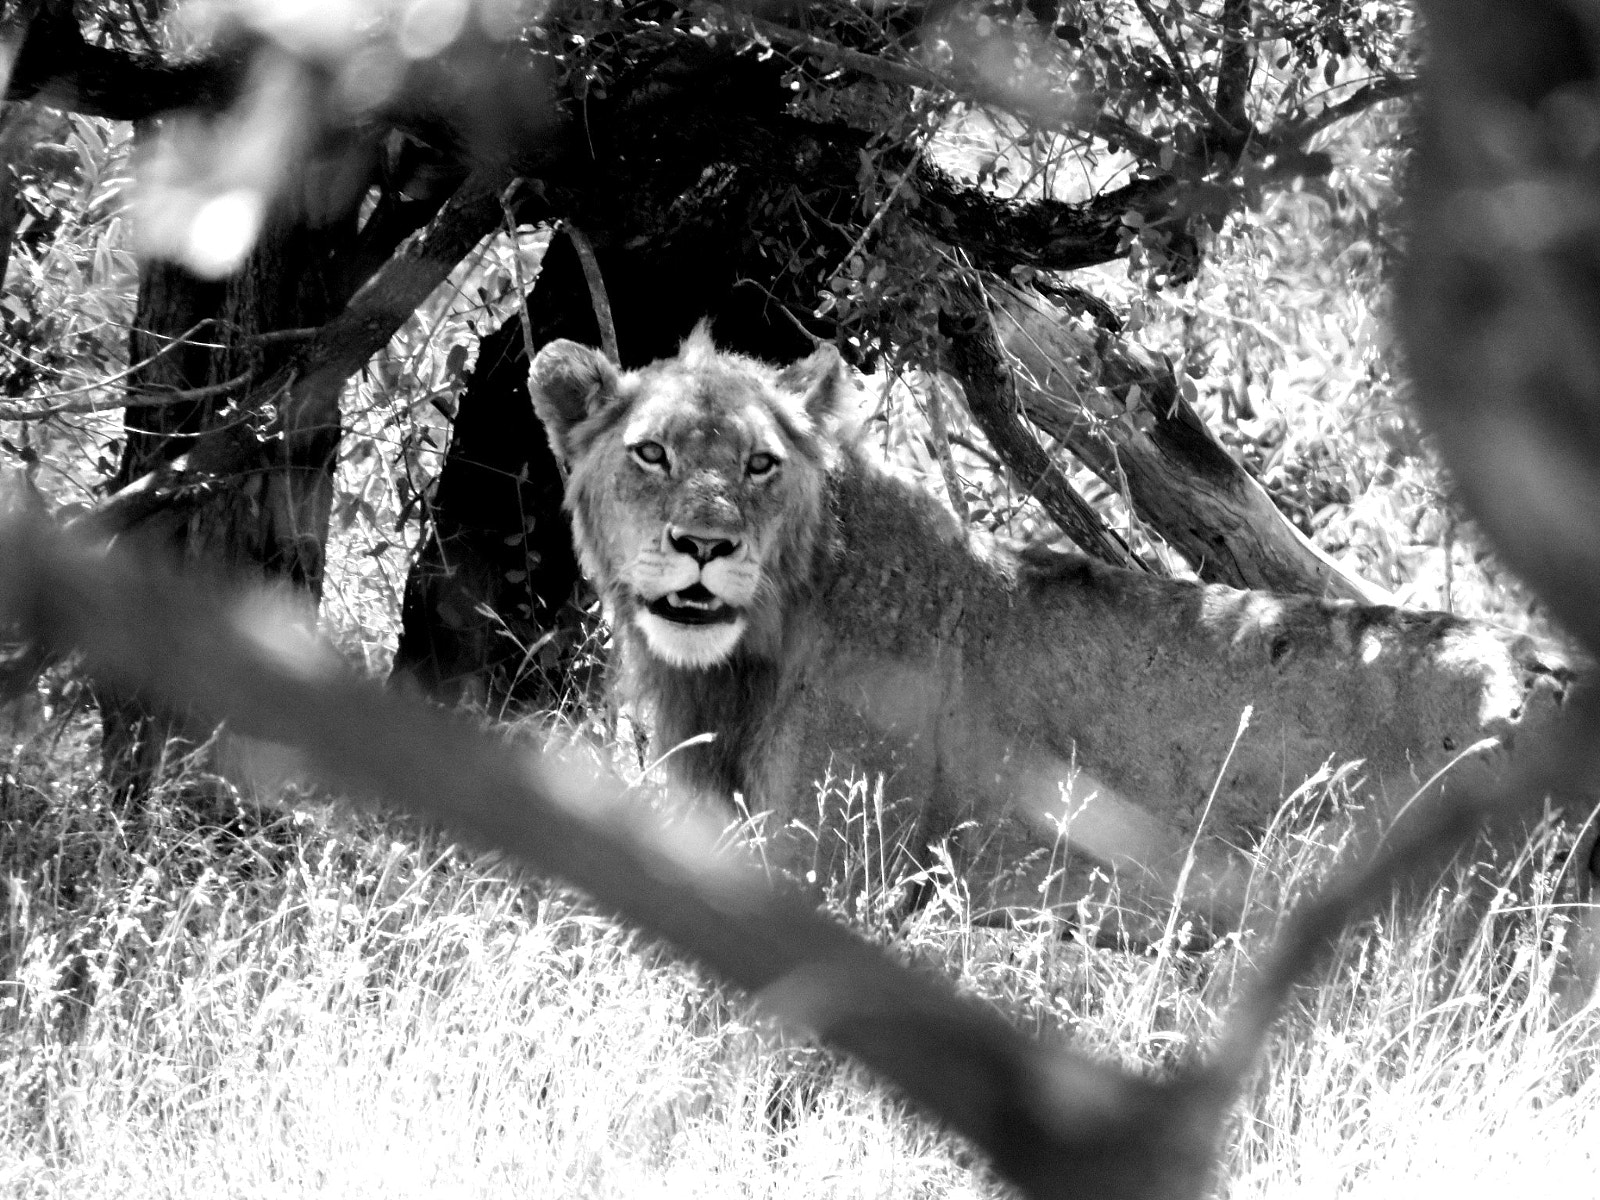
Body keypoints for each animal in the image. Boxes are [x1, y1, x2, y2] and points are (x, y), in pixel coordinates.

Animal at [528, 325, 1585, 936]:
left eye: (759, 464)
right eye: (651, 454)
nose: (705, 546)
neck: (744, 660)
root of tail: (1552, 671)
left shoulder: (833, 872)